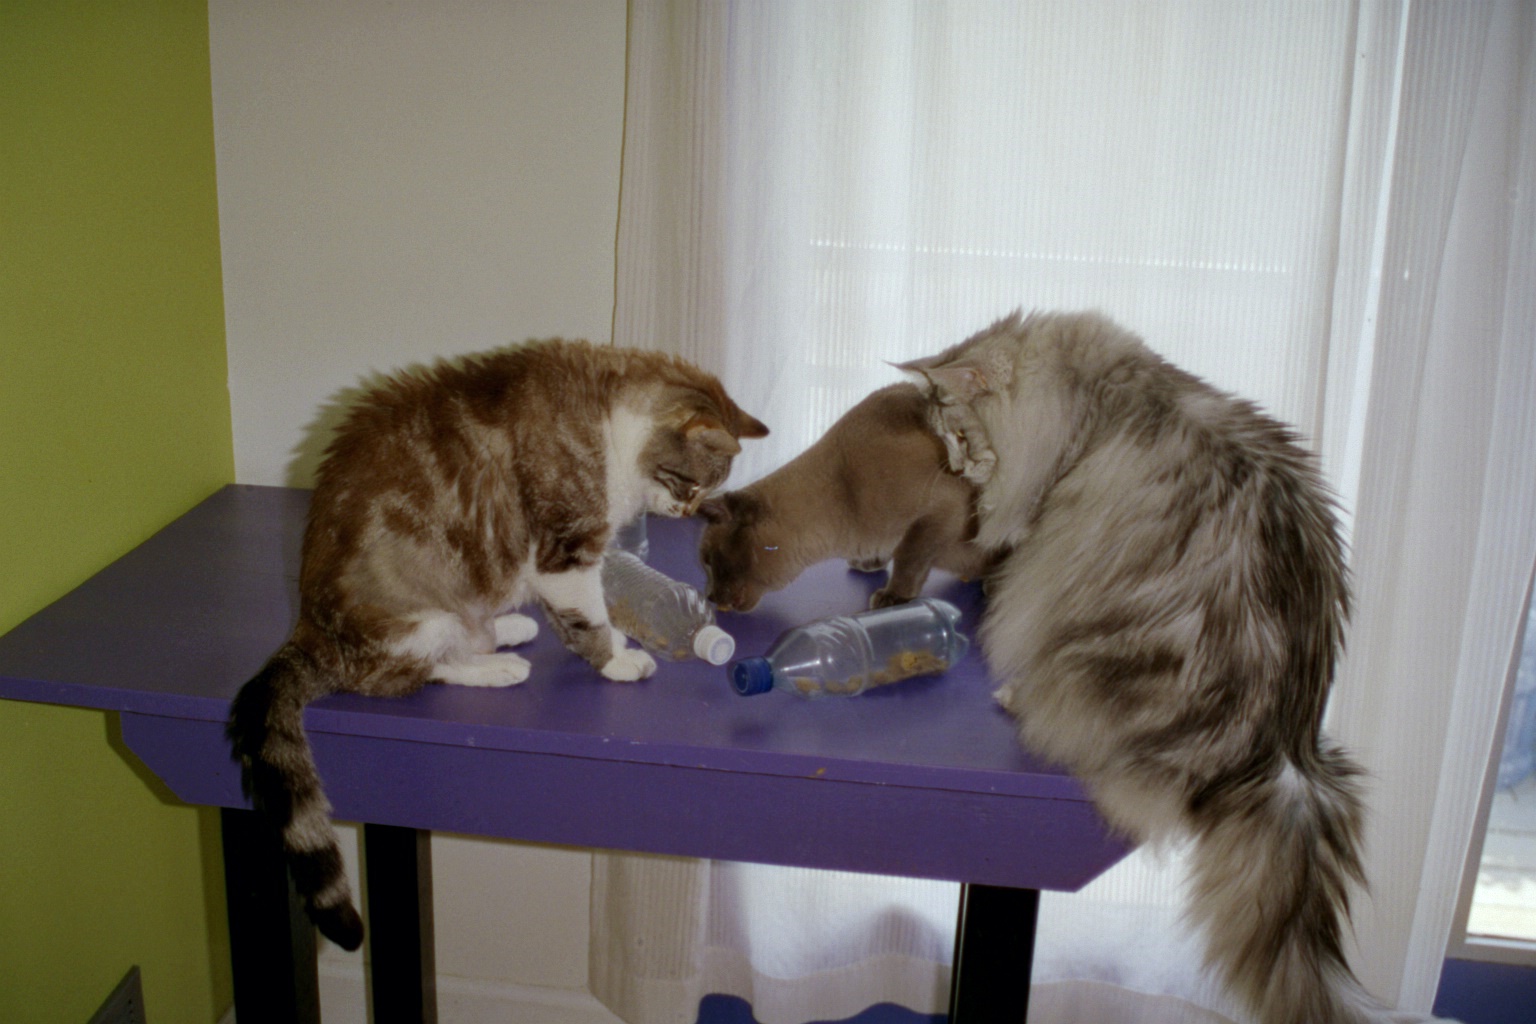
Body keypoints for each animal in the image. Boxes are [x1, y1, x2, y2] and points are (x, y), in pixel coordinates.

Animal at [225, 340, 768, 951]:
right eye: (690, 484)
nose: (686, 512)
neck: (608, 417)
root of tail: (308, 630)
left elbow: (581, 610)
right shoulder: (564, 547)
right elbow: (587, 616)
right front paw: (616, 658)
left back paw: (502, 630)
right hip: (419, 624)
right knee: (411, 674)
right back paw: (494, 666)